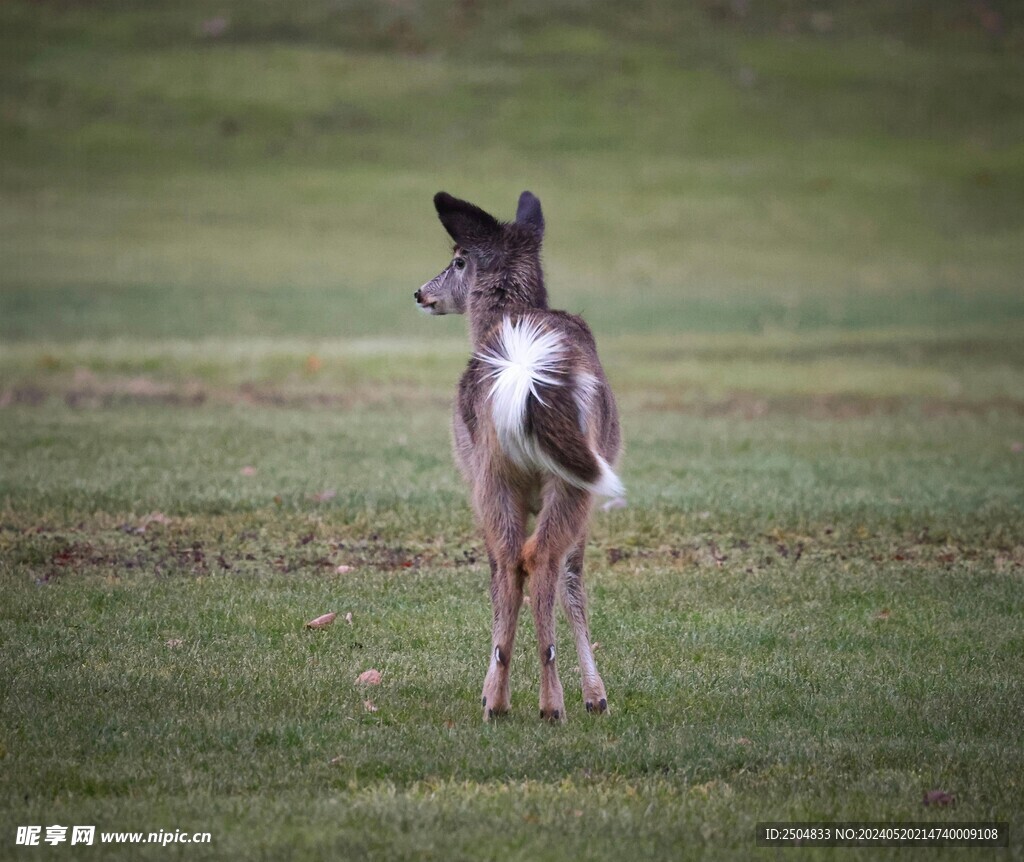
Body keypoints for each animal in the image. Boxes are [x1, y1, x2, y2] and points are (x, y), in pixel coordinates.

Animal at [414, 190, 623, 722]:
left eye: (458, 259)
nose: (420, 293)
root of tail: (524, 368)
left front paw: (594, 695)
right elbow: (570, 582)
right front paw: (595, 696)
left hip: (497, 472)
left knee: (519, 561)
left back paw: (508, 699)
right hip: (555, 477)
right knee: (535, 559)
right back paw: (542, 703)